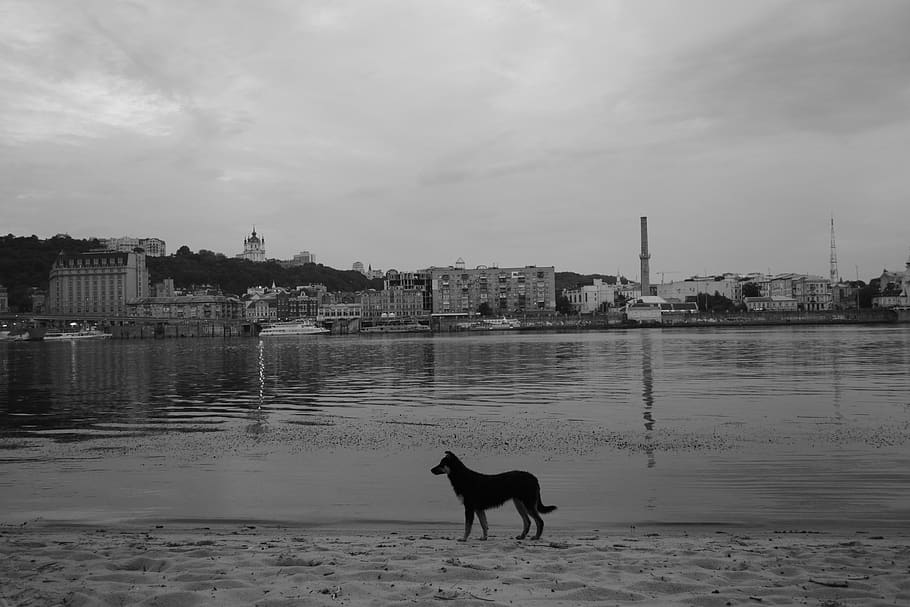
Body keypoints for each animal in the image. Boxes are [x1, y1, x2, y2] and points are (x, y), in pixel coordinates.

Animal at [432, 452, 560, 540]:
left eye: (442, 464)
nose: (431, 470)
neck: (463, 477)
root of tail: (534, 478)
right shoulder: (478, 509)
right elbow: (484, 524)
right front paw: (484, 538)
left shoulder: (469, 508)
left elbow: (468, 526)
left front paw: (464, 539)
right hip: (519, 503)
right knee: (527, 521)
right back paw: (522, 536)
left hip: (528, 504)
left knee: (539, 521)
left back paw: (536, 537)